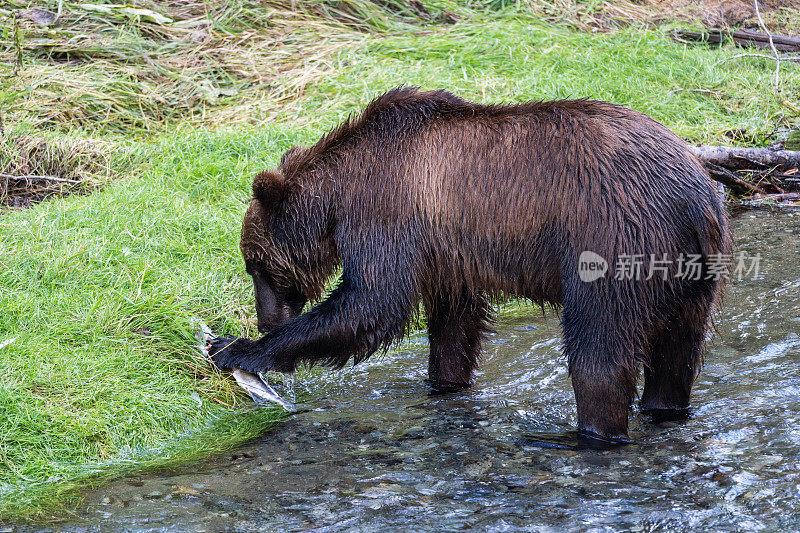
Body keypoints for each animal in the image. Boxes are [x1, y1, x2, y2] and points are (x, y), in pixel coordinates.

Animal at [211, 87, 732, 442]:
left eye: (254, 264)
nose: (264, 318)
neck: (336, 197)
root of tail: (698, 199)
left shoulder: (387, 209)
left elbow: (373, 302)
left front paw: (237, 348)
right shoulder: (445, 252)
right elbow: (453, 325)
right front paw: (444, 383)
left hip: (611, 243)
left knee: (598, 353)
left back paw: (589, 434)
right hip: (693, 278)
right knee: (677, 354)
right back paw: (665, 408)